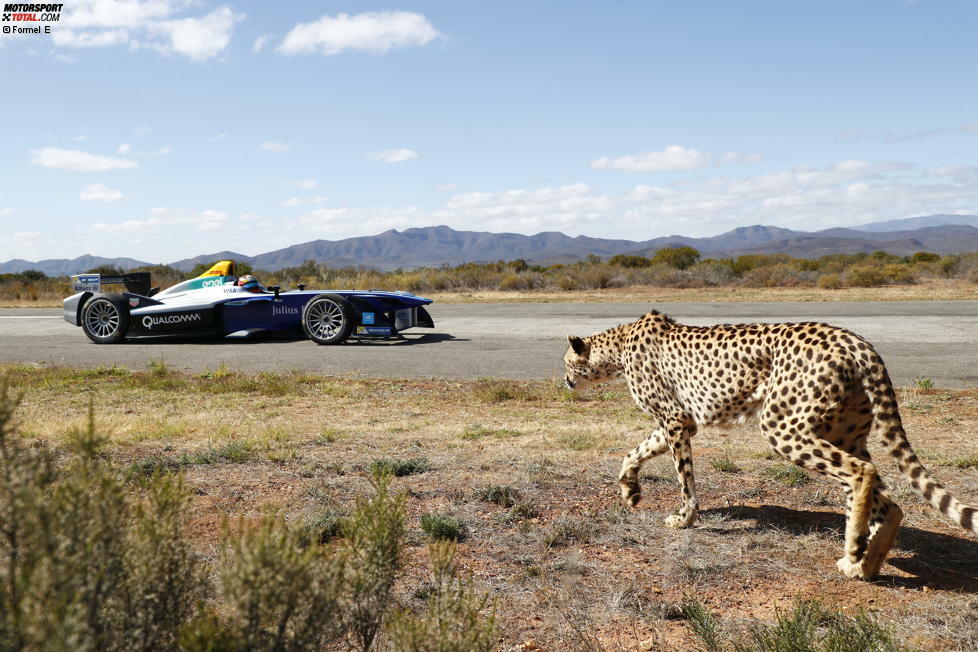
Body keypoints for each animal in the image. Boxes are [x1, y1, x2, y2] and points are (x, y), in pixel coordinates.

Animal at [560, 312, 972, 580]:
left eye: (566, 362)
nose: (565, 380)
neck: (618, 348)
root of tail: (853, 340)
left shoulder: (676, 420)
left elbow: (684, 478)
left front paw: (685, 517)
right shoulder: (680, 421)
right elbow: (635, 451)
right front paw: (629, 490)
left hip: (783, 427)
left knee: (861, 474)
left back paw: (854, 547)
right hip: (843, 434)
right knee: (891, 505)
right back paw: (863, 566)